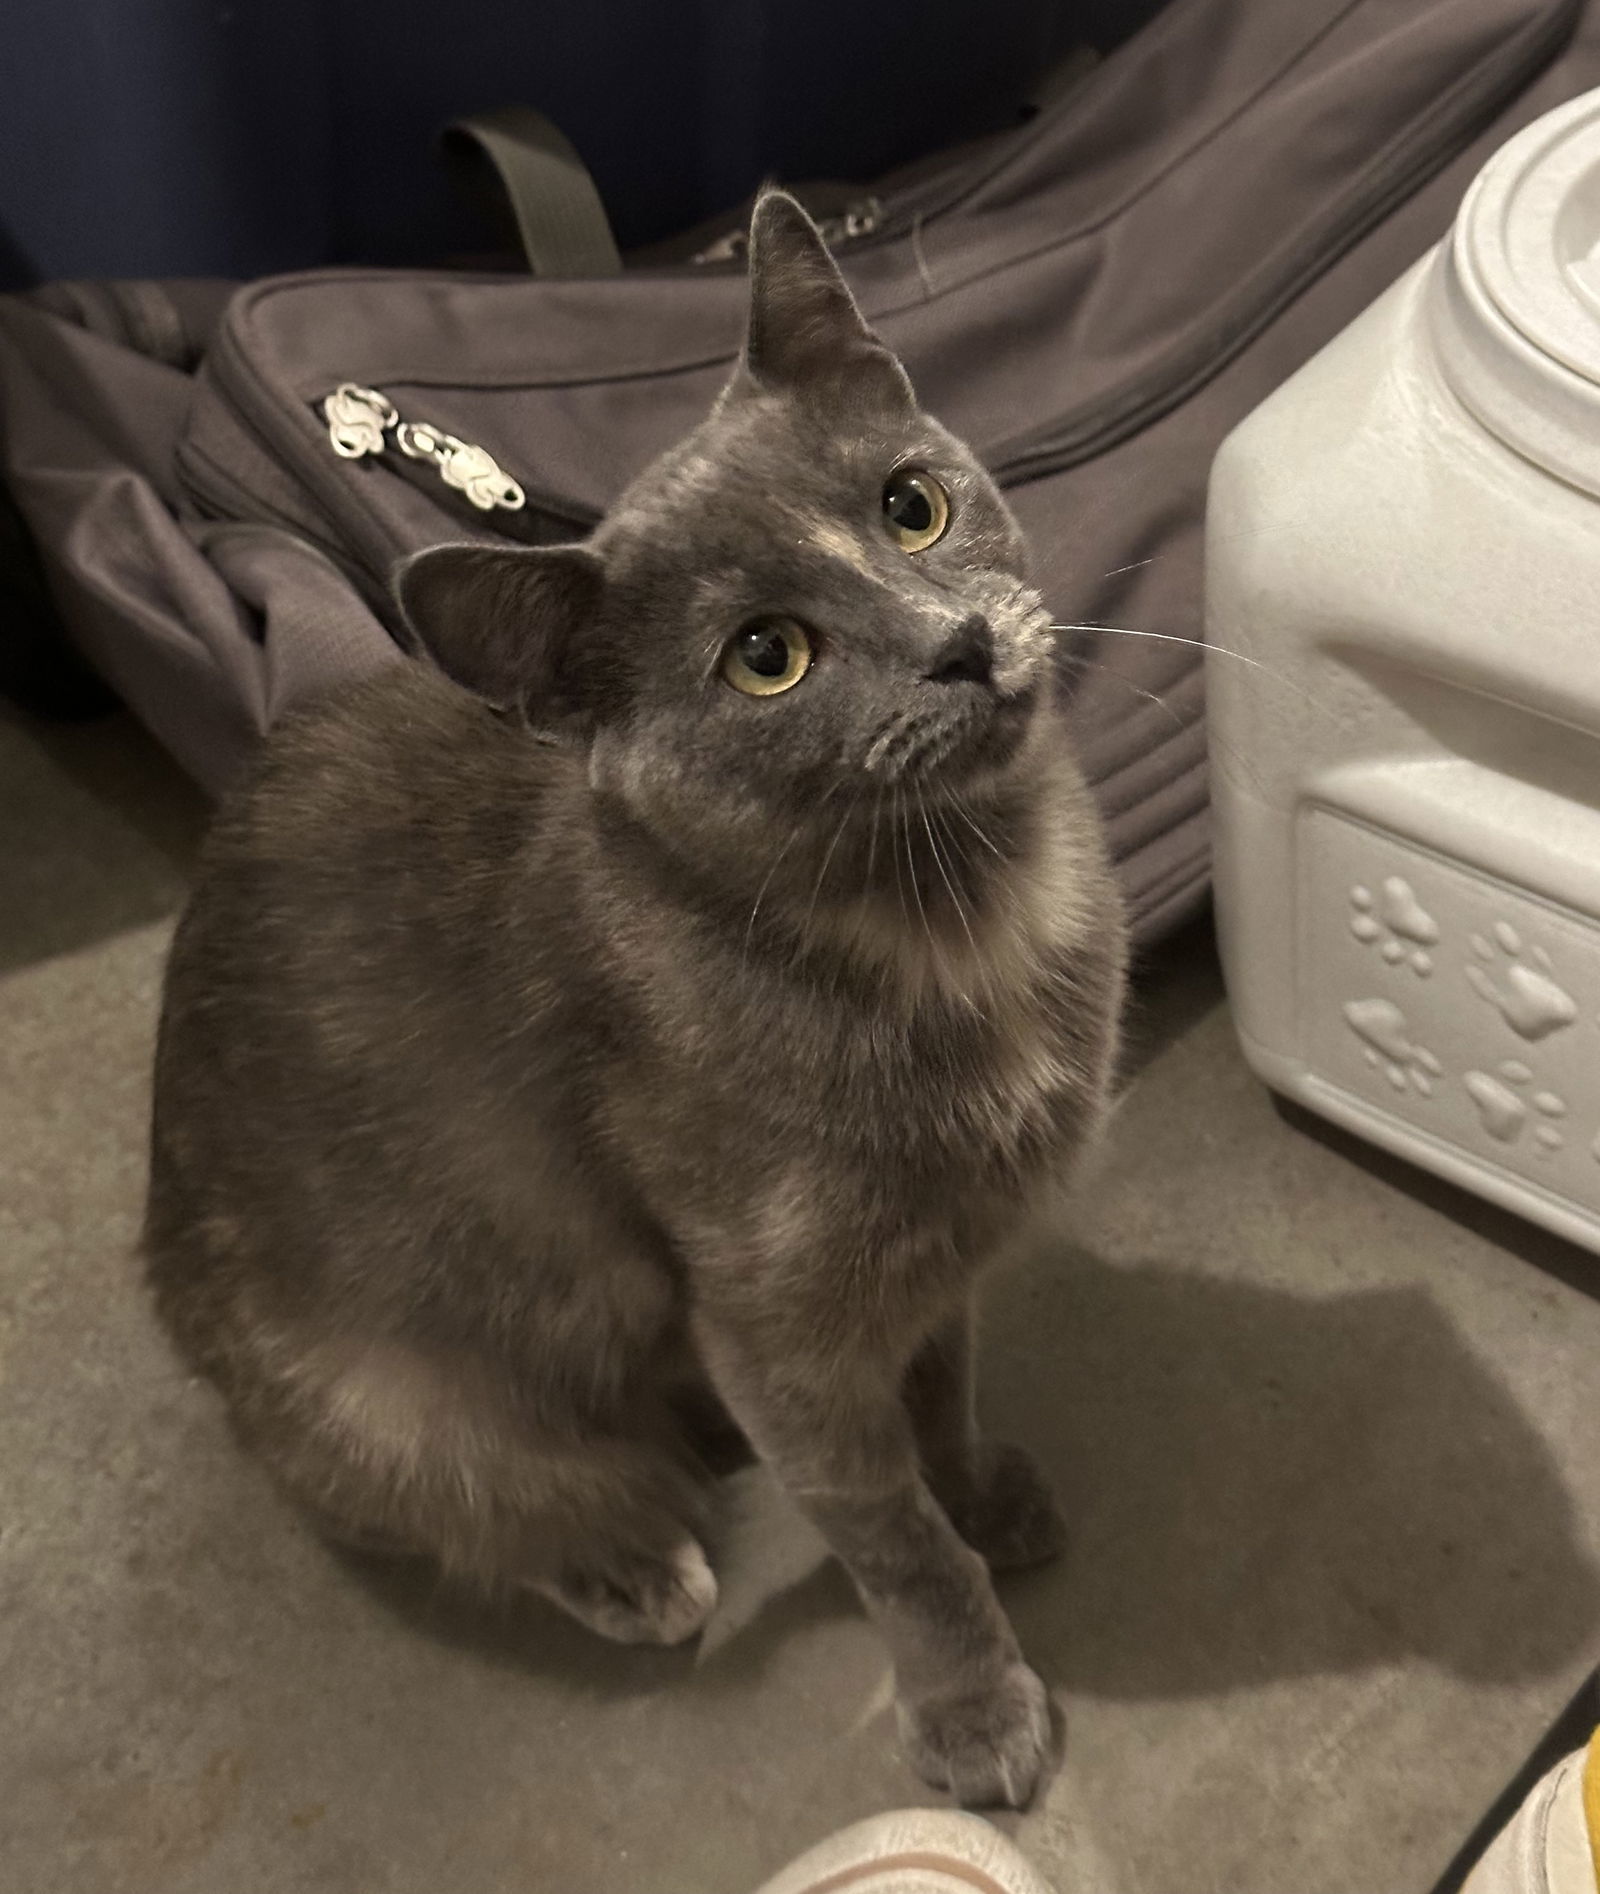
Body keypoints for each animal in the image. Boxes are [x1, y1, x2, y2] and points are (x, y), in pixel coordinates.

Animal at [146, 192, 1120, 1803]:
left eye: (911, 505)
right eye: (767, 658)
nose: (958, 644)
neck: (962, 919)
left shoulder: (935, 1262)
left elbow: (945, 1393)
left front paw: (990, 1493)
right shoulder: (779, 1324)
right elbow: (891, 1536)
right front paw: (973, 1704)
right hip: (388, 1397)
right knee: (484, 1500)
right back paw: (635, 1563)